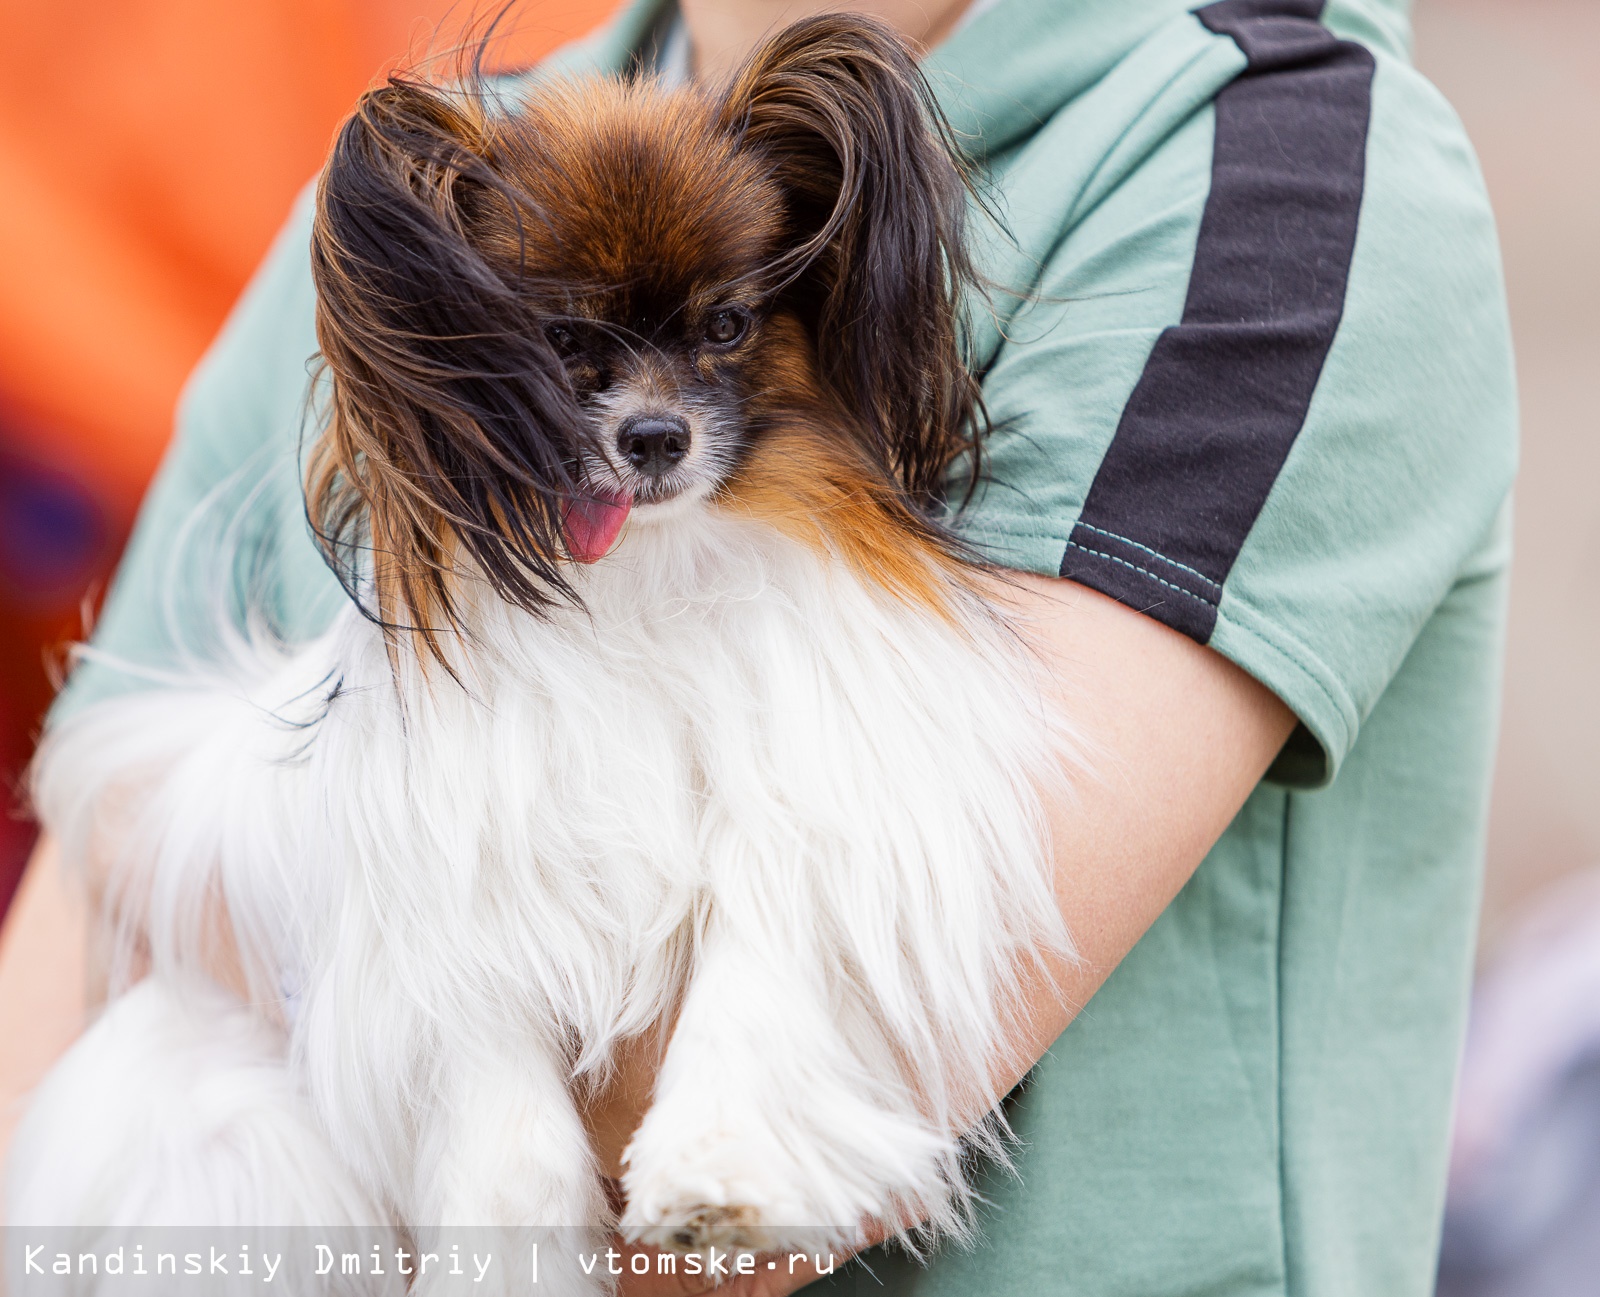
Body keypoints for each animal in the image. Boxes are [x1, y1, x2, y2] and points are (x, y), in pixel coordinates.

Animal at [12, 15, 1075, 1292]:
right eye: (560, 339)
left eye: (727, 324)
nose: (655, 438)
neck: (644, 585)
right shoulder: (457, 900)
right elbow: (501, 1125)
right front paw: (510, 1258)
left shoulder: (806, 811)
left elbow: (756, 972)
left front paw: (719, 1174)